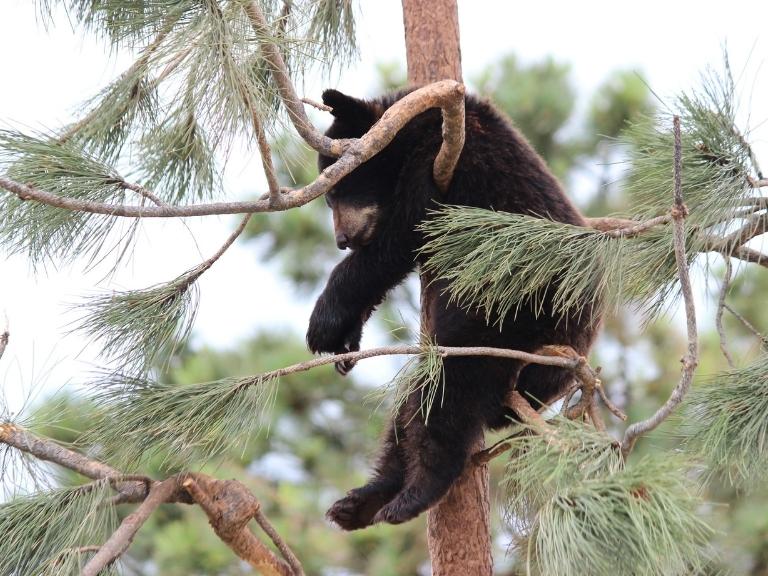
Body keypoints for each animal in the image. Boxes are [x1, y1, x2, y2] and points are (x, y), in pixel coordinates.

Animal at [306, 88, 600, 528]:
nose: (342, 239)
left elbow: (397, 241)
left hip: (509, 316)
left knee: (451, 387)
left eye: (337, 192)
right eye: (328, 198)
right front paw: (345, 345)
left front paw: (322, 325)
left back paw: (415, 493)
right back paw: (362, 502)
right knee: (414, 399)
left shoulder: (445, 162)